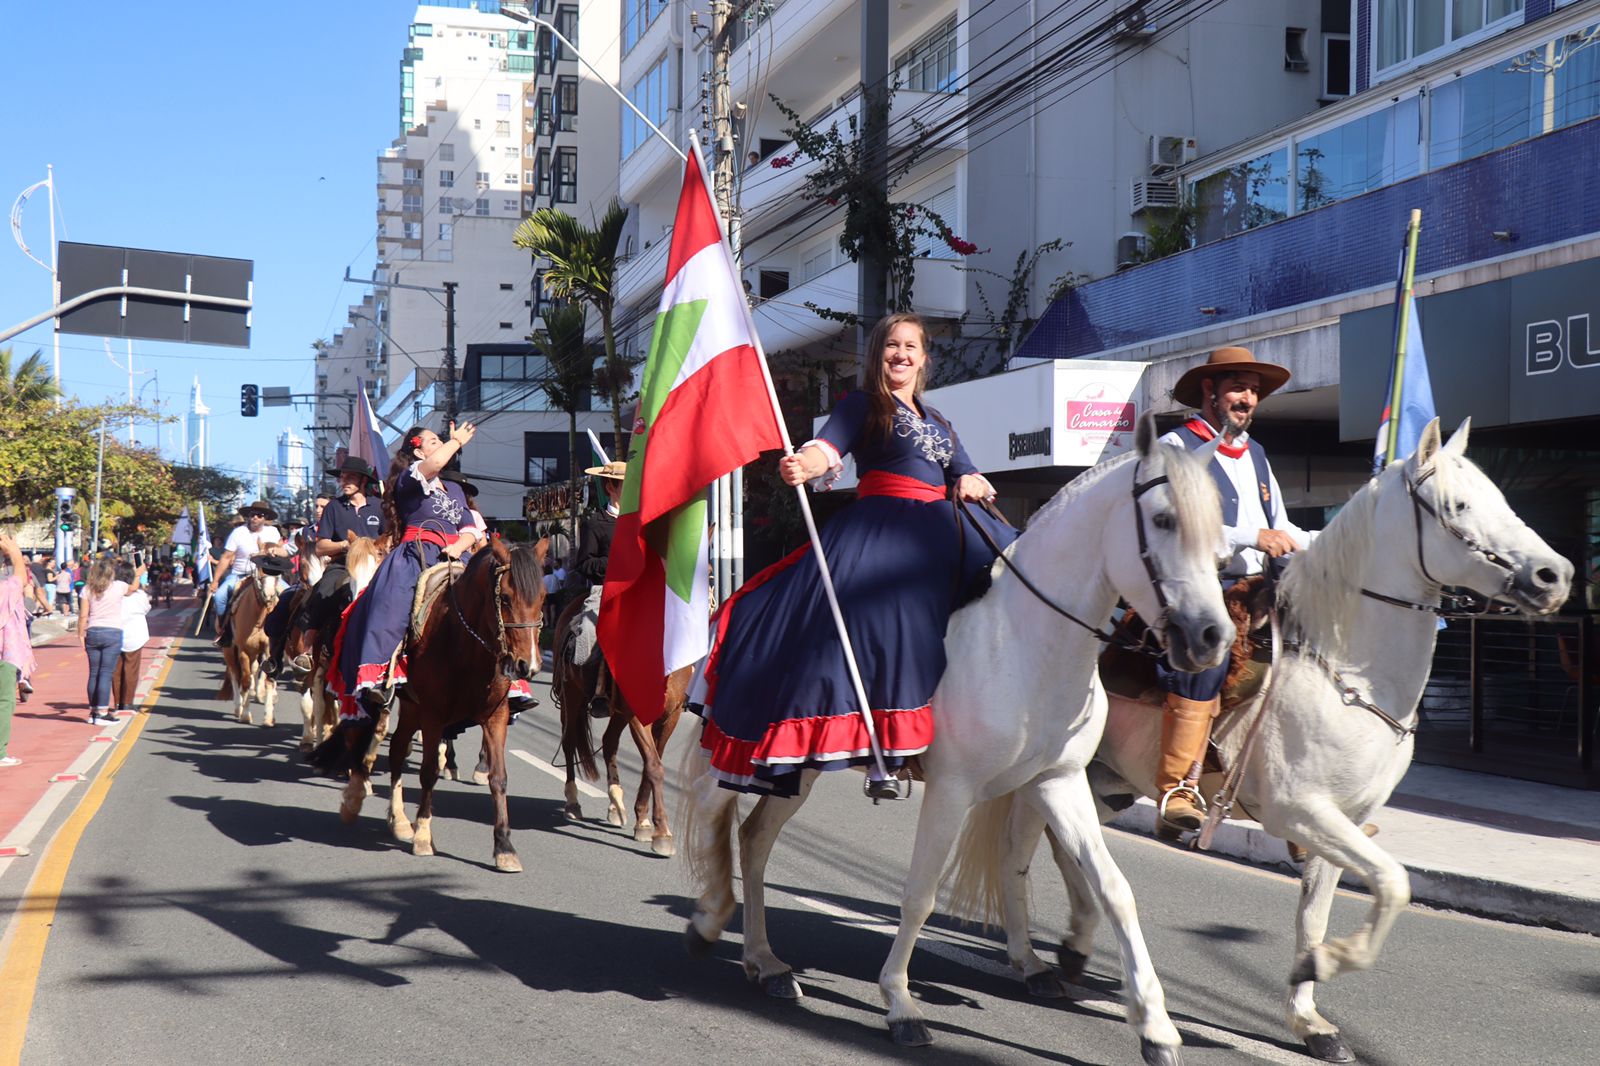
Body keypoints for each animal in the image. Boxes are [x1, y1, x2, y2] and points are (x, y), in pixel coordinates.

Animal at [324, 534, 550, 870]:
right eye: (507, 598)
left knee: (397, 748)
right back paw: (355, 800)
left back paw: (399, 819)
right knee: (360, 735)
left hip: (411, 706)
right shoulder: (434, 714)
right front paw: (423, 836)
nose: (528, 665)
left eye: (544, 597)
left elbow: (499, 778)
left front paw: (505, 847)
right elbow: (428, 772)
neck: (464, 644)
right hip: (376, 696)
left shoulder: (495, 715)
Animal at [681, 416, 1228, 1062]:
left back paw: (765, 964)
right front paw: (900, 1003)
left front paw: (1155, 1027)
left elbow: (1114, 889)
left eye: (1220, 532)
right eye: (1164, 520)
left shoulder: (1059, 782)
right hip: (756, 751)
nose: (1211, 638)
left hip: (800, 766)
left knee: (754, 837)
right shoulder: (953, 788)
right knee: (716, 810)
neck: (1026, 641)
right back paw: (713, 919)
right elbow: (920, 892)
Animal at [947, 419, 1574, 1056]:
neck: (1345, 664)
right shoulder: (1298, 810)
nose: (1556, 576)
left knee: (1068, 850)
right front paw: (1325, 967)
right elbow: (1394, 883)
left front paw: (1310, 1015)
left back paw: (1073, 947)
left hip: (1104, 782)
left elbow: (1320, 912)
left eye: (1501, 497)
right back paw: (1031, 962)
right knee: (1018, 852)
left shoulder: (1345, 818)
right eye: (1458, 505)